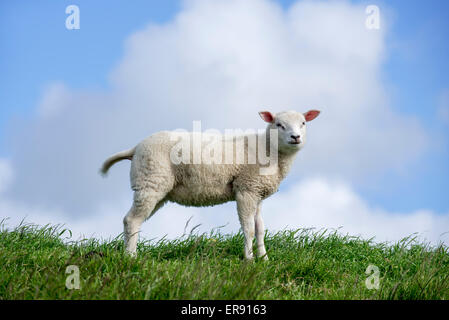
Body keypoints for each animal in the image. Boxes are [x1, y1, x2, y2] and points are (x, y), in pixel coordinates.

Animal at [100, 110, 318, 260]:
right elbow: (248, 227)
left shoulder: (258, 192)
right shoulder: (246, 189)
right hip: (150, 181)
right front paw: (249, 259)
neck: (268, 150)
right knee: (131, 220)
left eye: (303, 123)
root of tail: (135, 148)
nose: (296, 137)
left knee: (135, 219)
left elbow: (260, 228)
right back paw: (131, 257)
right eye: (279, 124)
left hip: (157, 188)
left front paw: (264, 259)